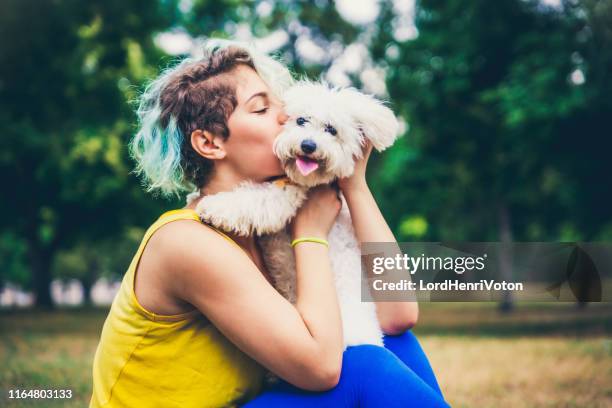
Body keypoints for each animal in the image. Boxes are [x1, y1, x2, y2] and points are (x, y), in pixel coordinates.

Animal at [191, 80, 402, 348]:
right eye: (301, 120)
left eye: (331, 130)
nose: (308, 145)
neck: (306, 182)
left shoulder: (283, 198)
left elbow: (254, 198)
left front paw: (213, 207)